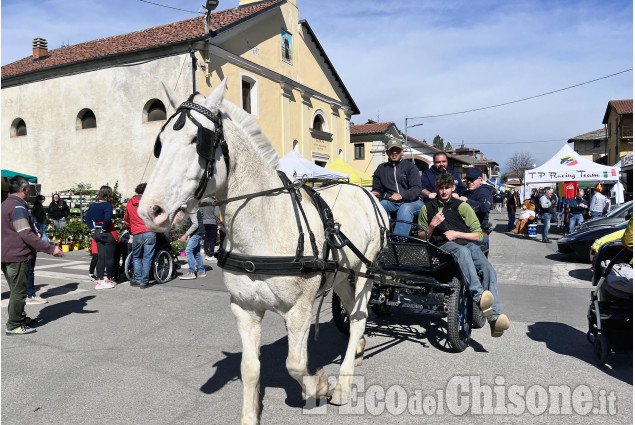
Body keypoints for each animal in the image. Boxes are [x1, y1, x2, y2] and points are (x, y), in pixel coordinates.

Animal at [139, 79, 388, 424]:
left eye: (198, 141)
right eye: (160, 143)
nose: (150, 212)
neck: (265, 225)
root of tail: (369, 195)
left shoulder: (299, 309)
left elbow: (295, 364)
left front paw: (321, 384)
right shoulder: (244, 309)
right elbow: (250, 368)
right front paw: (249, 415)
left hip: (366, 271)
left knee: (360, 317)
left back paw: (343, 382)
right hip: (340, 274)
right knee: (352, 313)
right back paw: (360, 349)